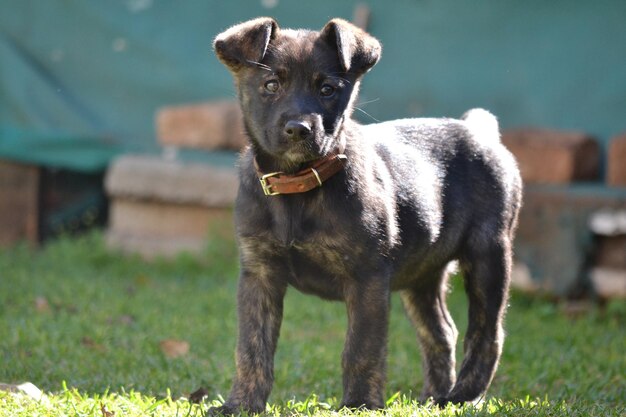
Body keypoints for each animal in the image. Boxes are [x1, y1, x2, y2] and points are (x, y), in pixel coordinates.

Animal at [212, 15, 520, 412]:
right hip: (422, 275)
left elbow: (361, 349)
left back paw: (463, 396)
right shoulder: (259, 275)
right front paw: (241, 404)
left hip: (488, 255)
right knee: (441, 332)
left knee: (487, 332)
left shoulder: (367, 277)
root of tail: (479, 130)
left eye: (328, 89)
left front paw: (359, 404)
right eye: (270, 85)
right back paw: (433, 398)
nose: (299, 129)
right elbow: (251, 348)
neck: (299, 189)